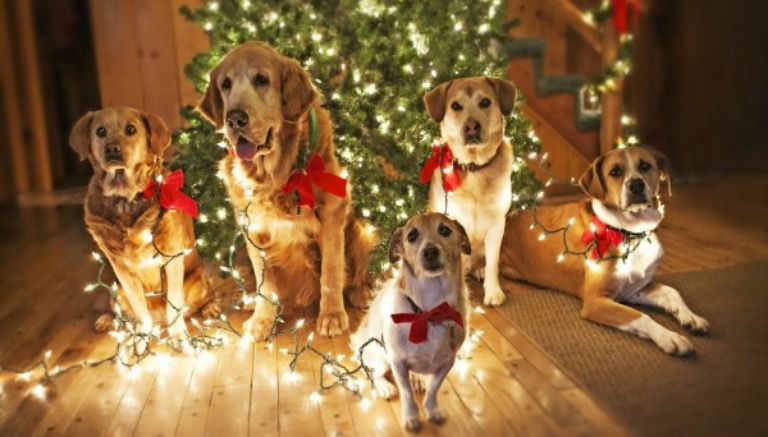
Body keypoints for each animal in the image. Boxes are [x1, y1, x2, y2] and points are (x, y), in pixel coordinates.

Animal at [70, 107, 219, 336]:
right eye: (100, 131)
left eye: (131, 129)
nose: (111, 149)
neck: (125, 198)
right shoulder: (122, 270)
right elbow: (139, 306)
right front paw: (144, 334)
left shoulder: (171, 258)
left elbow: (174, 303)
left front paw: (178, 335)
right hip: (117, 290)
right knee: (120, 311)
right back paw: (108, 320)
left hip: (196, 282)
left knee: (204, 296)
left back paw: (209, 308)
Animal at [198, 41, 376, 340]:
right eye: (225, 84)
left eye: (262, 80)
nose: (234, 119)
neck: (275, 176)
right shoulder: (252, 228)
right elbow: (264, 282)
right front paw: (263, 320)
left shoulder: (331, 215)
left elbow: (331, 271)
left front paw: (331, 316)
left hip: (359, 231)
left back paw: (361, 292)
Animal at [352, 213, 472, 430]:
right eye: (412, 236)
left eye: (444, 230)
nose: (430, 251)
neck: (430, 310)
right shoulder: (397, 362)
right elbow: (406, 393)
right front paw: (411, 417)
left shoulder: (447, 362)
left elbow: (433, 389)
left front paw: (433, 410)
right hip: (378, 355)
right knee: (373, 372)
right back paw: (384, 387)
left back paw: (417, 379)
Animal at [424, 76, 520, 306]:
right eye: (455, 106)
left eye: (485, 102)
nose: (471, 127)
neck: (474, 167)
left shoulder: (497, 223)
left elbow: (493, 262)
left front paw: (493, 291)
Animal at [500, 146, 712, 354]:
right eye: (615, 172)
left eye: (645, 166)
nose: (636, 185)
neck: (629, 232)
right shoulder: (596, 301)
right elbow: (641, 316)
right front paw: (669, 337)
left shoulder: (632, 290)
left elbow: (672, 291)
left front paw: (691, 317)